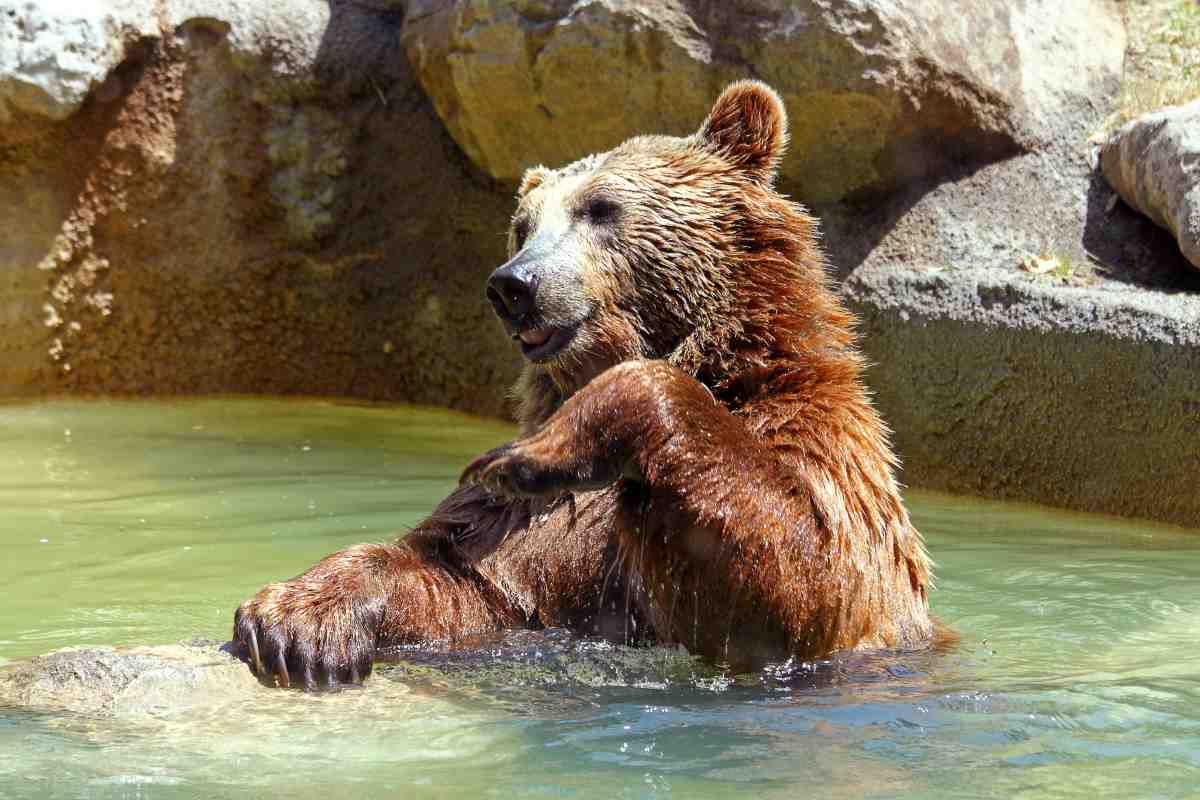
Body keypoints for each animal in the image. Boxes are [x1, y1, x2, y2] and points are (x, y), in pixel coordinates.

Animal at [231, 77, 926, 690]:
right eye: (523, 225)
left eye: (601, 208)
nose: (513, 285)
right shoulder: (525, 534)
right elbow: (464, 577)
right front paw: (296, 617)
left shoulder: (822, 454)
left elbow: (803, 577)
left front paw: (540, 452)